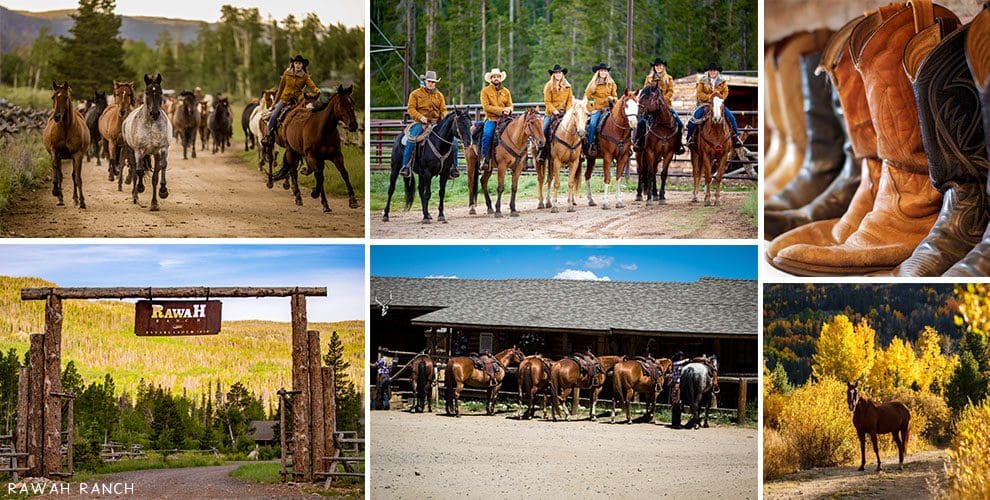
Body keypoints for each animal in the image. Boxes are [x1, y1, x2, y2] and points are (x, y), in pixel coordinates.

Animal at [43, 81, 90, 209]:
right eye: (53, 97)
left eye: (66, 97)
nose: (56, 117)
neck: (65, 128)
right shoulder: (55, 151)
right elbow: (56, 171)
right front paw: (55, 191)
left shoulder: (77, 155)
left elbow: (77, 177)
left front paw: (82, 201)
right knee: (60, 174)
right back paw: (60, 199)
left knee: (74, 176)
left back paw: (76, 199)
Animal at [123, 73, 173, 210]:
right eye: (147, 92)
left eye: (160, 92)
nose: (155, 113)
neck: (151, 124)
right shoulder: (139, 150)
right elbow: (139, 171)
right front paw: (140, 188)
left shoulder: (161, 149)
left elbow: (160, 170)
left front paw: (162, 193)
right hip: (130, 151)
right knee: (134, 170)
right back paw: (135, 195)